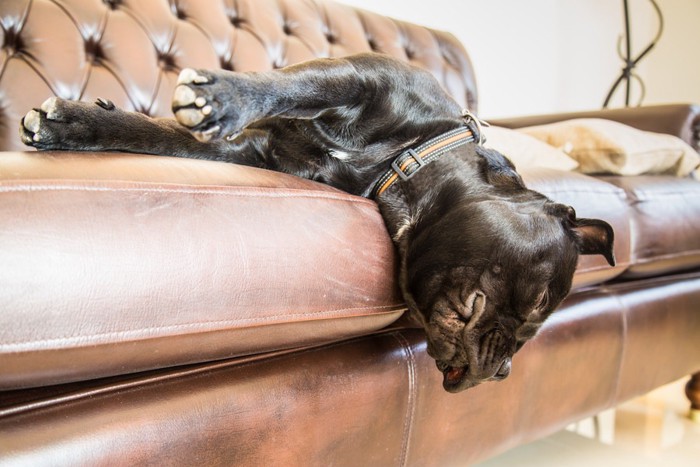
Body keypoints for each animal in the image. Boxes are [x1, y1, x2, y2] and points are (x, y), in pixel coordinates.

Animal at [20, 53, 612, 394]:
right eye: (537, 307)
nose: (507, 370)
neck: (407, 156)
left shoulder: (246, 155)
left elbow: (163, 138)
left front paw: (79, 124)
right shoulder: (355, 78)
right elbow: (282, 91)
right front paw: (219, 96)